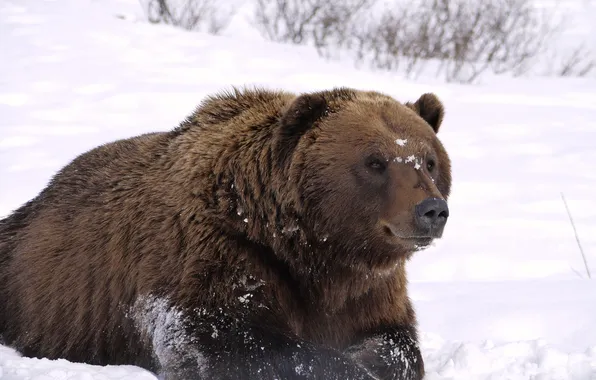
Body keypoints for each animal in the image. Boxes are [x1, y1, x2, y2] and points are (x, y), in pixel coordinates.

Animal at [0, 87, 450, 380]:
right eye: (375, 162)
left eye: (428, 161)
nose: (431, 210)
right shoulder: (218, 255)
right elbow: (233, 341)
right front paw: (340, 366)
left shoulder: (368, 289)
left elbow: (397, 343)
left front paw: (371, 361)